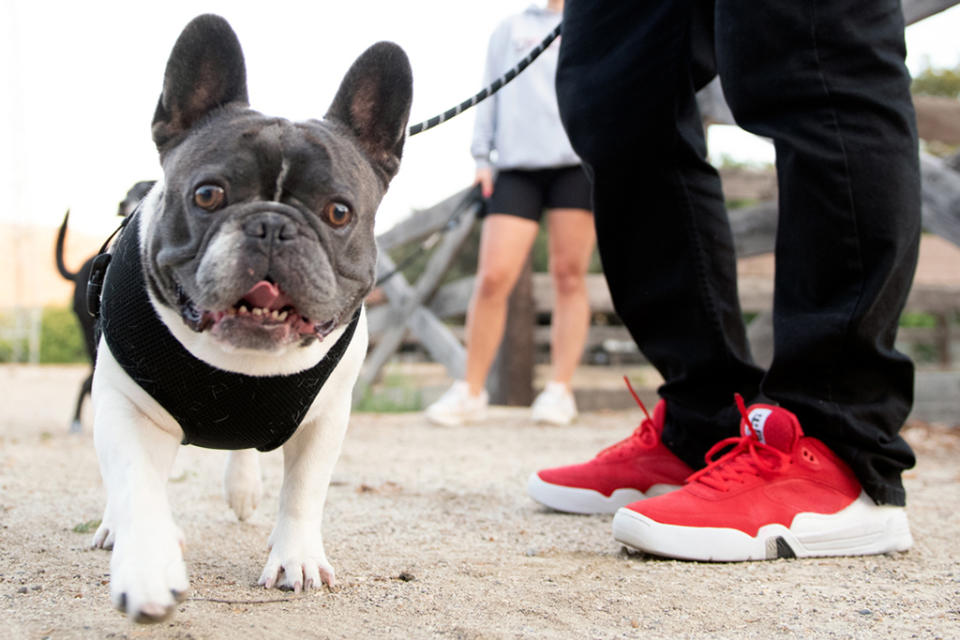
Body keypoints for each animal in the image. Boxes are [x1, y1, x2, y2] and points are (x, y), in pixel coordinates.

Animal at [93, 13, 412, 620]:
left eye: (339, 212)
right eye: (208, 195)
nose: (272, 225)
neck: (242, 367)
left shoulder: (327, 419)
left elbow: (305, 492)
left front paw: (296, 559)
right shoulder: (126, 405)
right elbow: (137, 486)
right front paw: (146, 568)